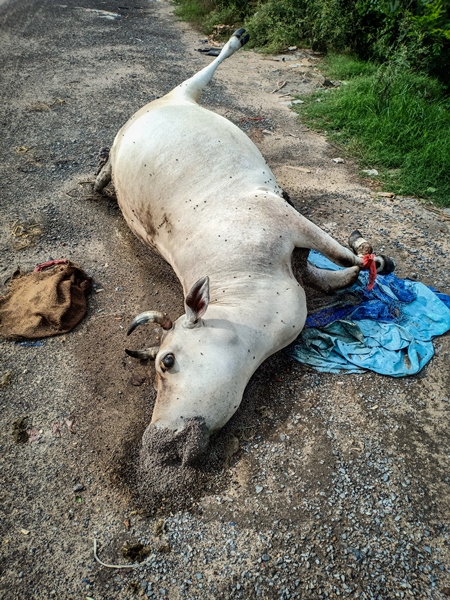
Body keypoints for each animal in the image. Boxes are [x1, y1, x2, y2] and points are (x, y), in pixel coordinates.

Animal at [96, 29, 394, 464]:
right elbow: (327, 271)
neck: (243, 277)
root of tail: (153, 108)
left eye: (167, 361)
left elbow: (337, 253)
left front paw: (370, 258)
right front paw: (356, 269)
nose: (157, 443)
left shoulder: (284, 217)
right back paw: (101, 177)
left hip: (184, 92)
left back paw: (237, 37)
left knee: (202, 73)